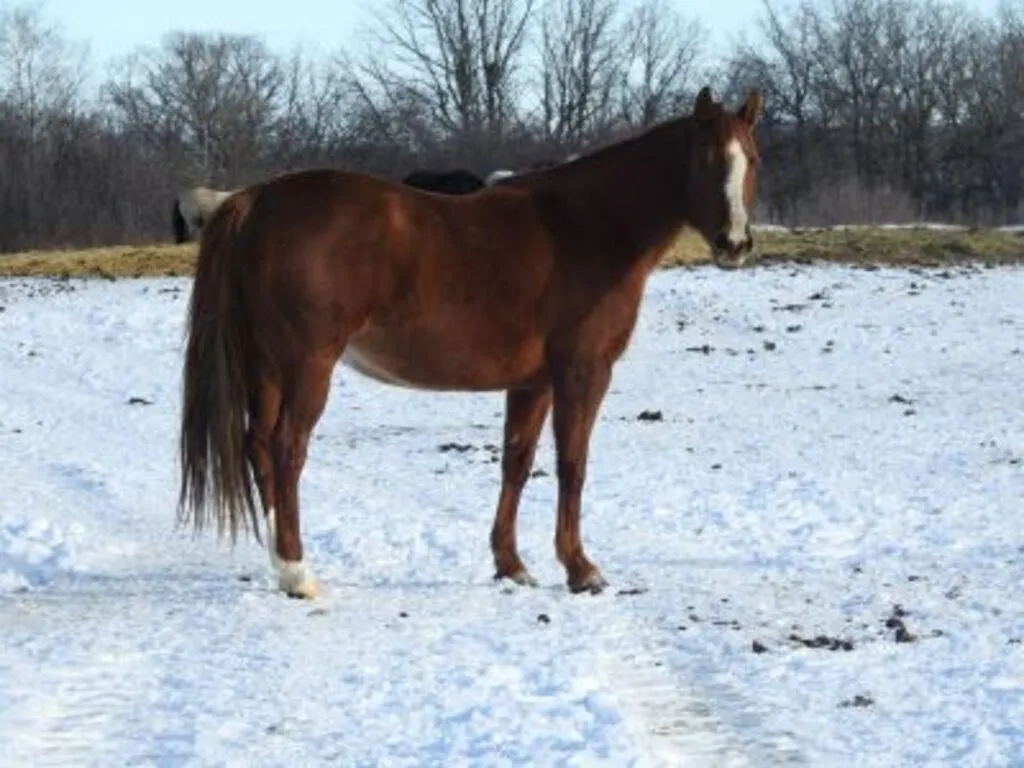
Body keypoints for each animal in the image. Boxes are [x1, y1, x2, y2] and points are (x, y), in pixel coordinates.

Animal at [176, 86, 763, 600]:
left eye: (752, 160)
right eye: (706, 160)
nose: (735, 244)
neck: (588, 225)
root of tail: (255, 199)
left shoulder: (533, 382)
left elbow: (517, 462)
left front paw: (511, 565)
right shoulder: (583, 371)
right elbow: (573, 463)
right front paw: (581, 569)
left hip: (265, 366)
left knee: (258, 446)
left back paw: (279, 559)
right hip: (307, 365)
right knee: (286, 448)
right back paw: (299, 573)